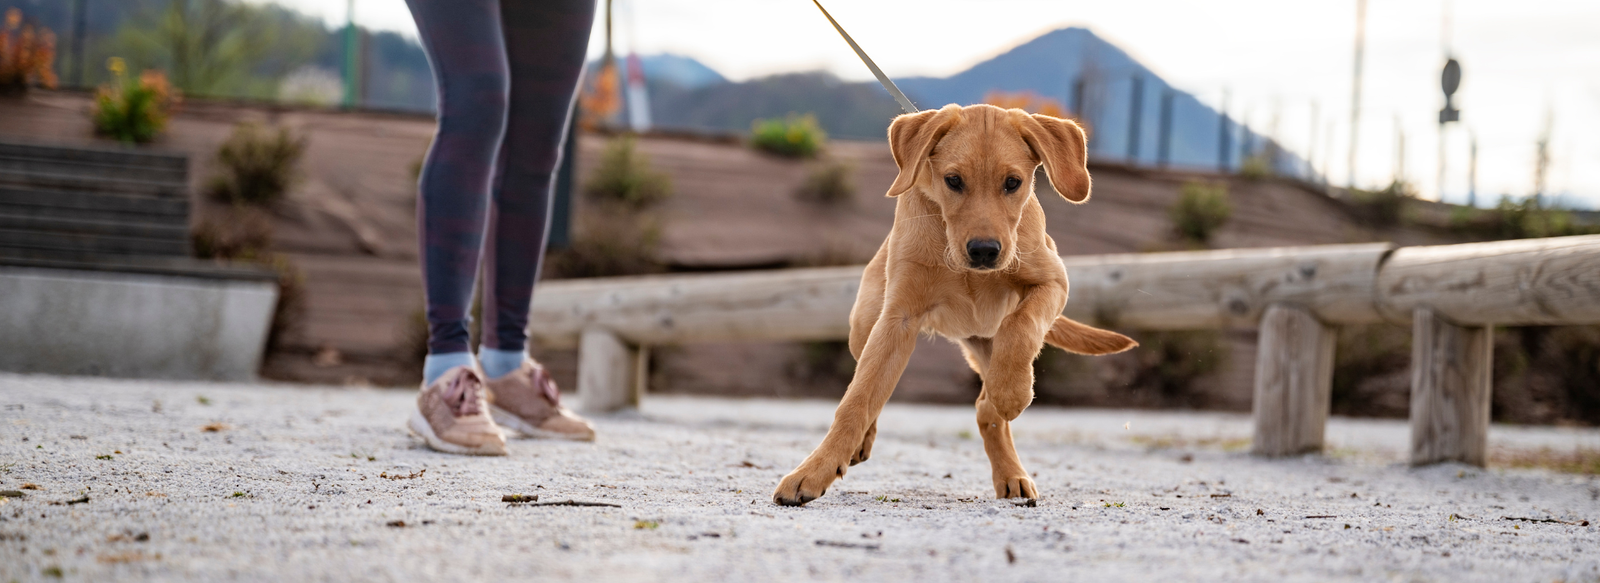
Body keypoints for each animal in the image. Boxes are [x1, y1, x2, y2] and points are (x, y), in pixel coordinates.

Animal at [774, 103, 1139, 506]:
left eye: (1013, 183)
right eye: (953, 181)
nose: (984, 251)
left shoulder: (1053, 281)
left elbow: (1021, 323)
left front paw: (1012, 391)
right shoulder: (898, 318)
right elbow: (858, 400)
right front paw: (813, 471)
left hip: (986, 344)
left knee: (986, 407)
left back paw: (1012, 468)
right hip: (865, 325)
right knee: (876, 384)